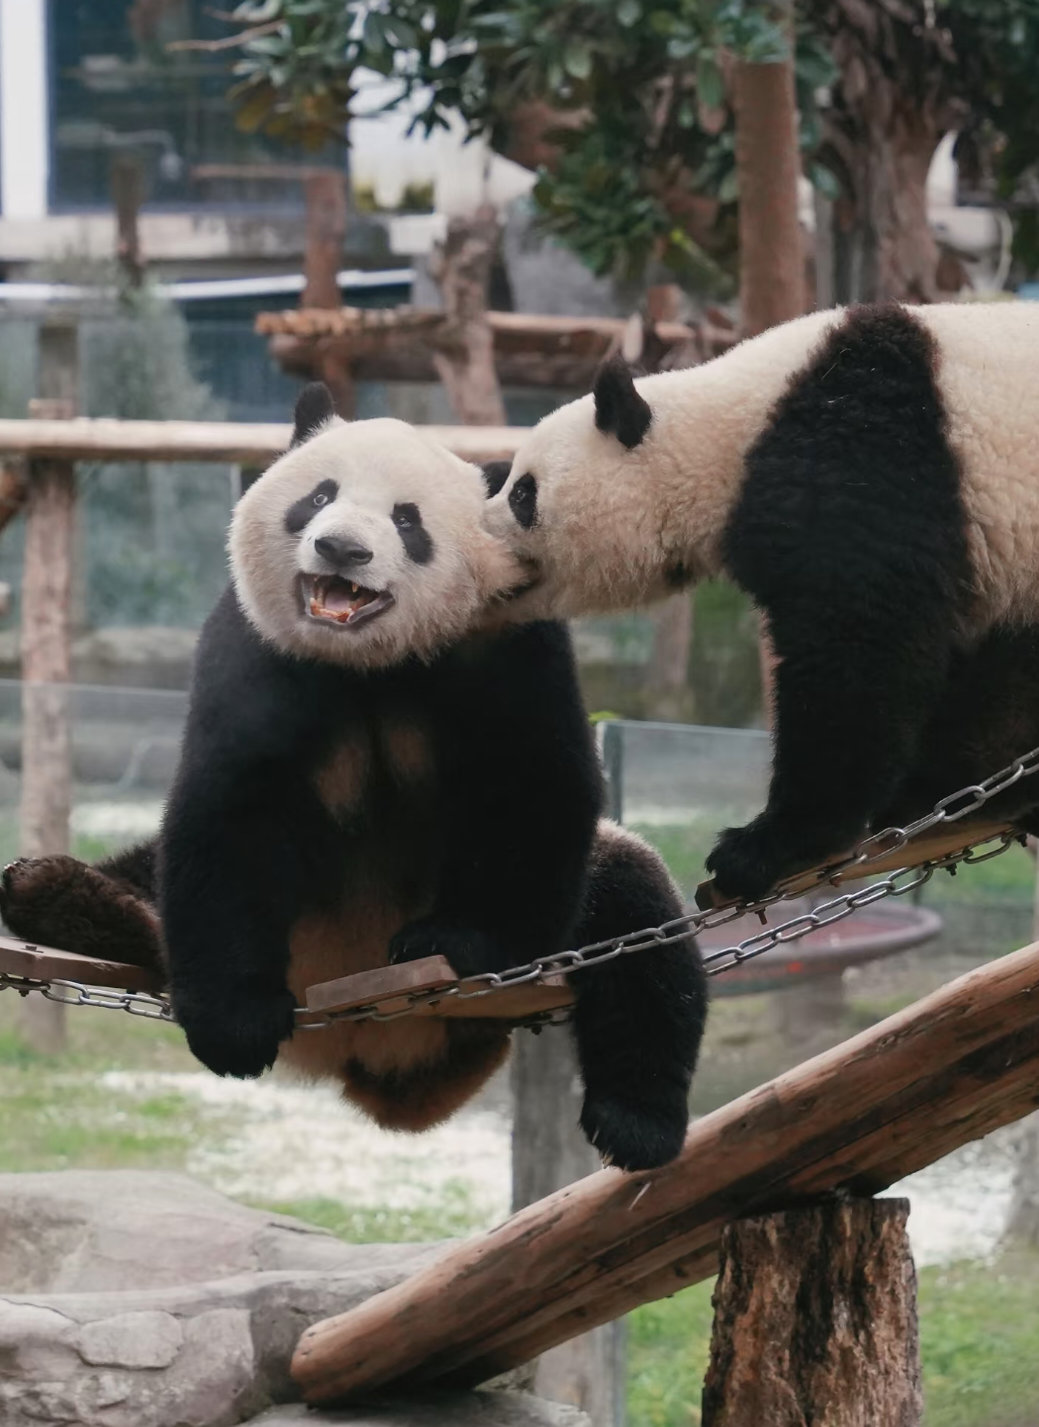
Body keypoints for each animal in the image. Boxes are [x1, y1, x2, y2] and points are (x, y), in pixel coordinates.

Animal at [2, 382, 705, 1170]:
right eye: (317, 496)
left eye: (408, 520)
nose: (342, 548)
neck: (367, 660)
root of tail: (376, 1049)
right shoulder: (256, 646)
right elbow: (232, 810)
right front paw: (235, 1022)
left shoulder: (506, 640)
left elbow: (533, 787)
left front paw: (454, 945)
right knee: (147, 880)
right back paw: (54, 894)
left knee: (638, 927)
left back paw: (635, 1123)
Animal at [482, 302, 1039, 901]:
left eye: (523, 493)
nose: (479, 531)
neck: (732, 434)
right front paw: (945, 789)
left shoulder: (863, 458)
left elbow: (858, 650)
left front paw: (765, 846)